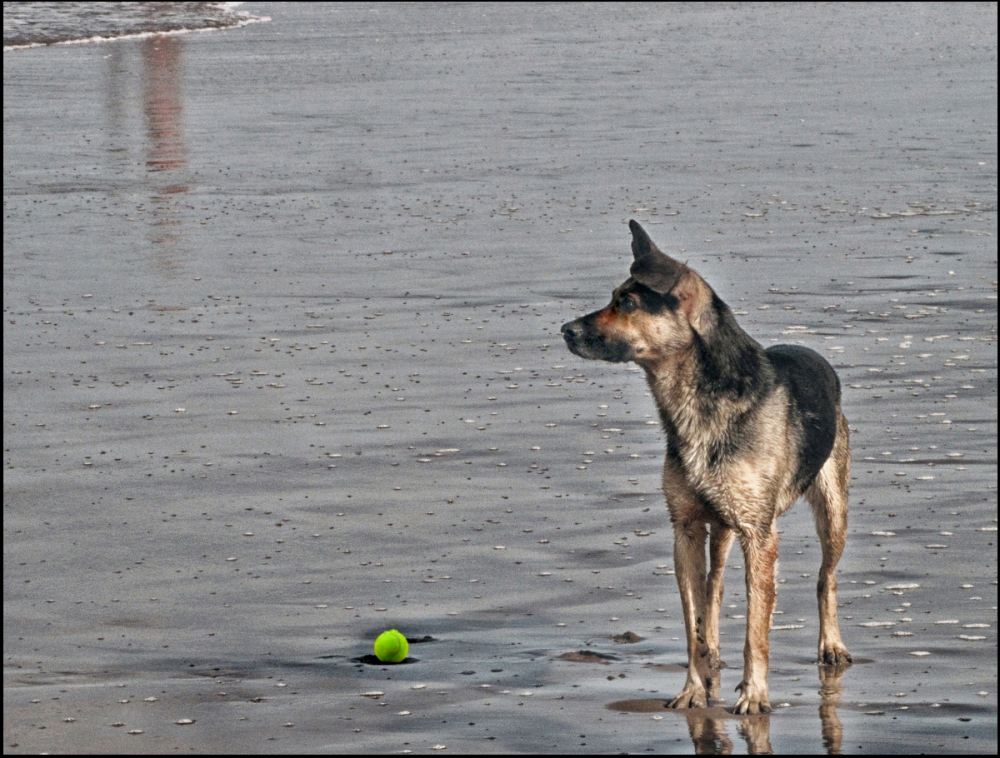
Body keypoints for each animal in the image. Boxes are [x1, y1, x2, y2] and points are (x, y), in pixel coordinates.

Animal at [564, 221, 852, 720]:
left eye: (627, 303)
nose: (565, 330)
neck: (693, 400)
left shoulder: (760, 536)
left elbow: (756, 628)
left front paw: (754, 694)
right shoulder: (685, 529)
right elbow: (693, 622)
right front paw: (694, 690)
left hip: (832, 510)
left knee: (825, 578)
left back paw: (830, 645)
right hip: (719, 527)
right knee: (714, 588)